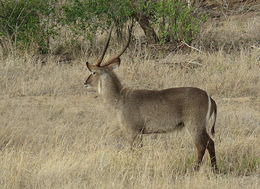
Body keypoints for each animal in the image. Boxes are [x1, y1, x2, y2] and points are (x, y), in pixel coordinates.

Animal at [84, 25, 218, 171]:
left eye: (93, 72)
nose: (85, 82)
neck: (120, 98)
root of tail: (208, 96)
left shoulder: (132, 132)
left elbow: (134, 151)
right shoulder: (139, 133)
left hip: (194, 125)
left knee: (201, 146)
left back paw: (195, 169)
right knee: (211, 143)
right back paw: (215, 169)